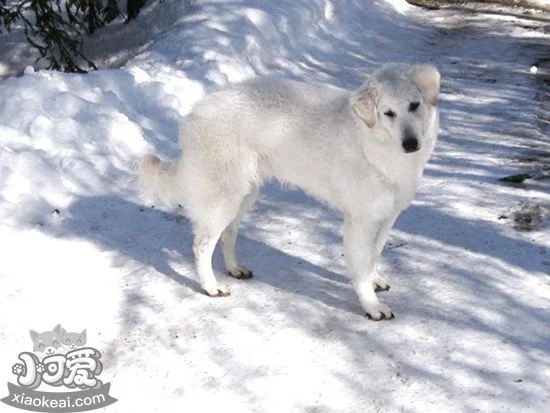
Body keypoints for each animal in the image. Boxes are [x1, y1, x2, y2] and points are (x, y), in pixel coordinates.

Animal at [140, 62, 442, 320]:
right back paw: (212, 287)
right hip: (223, 198)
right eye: (388, 113)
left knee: (228, 234)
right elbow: (361, 266)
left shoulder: (386, 217)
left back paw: (235, 269)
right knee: (202, 244)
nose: (411, 143)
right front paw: (372, 306)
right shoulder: (361, 221)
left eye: (414, 106)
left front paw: (375, 280)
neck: (372, 143)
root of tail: (196, 112)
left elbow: (373, 256)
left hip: (244, 195)